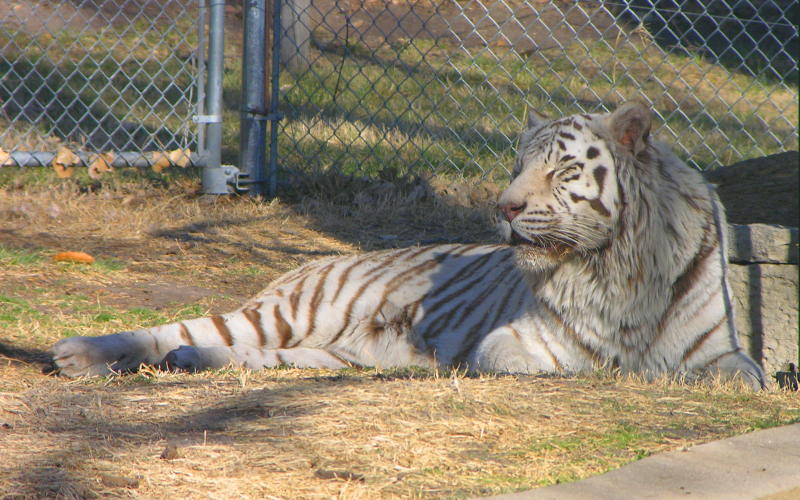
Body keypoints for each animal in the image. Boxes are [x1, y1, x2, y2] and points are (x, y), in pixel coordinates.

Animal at [50, 103, 764, 388]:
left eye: (561, 170)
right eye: (517, 166)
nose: (504, 207)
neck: (617, 269)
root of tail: (312, 261)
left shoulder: (722, 354)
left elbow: (745, 377)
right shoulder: (511, 343)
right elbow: (561, 365)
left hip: (323, 353)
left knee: (240, 355)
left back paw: (190, 363)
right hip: (286, 313)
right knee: (175, 328)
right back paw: (77, 355)